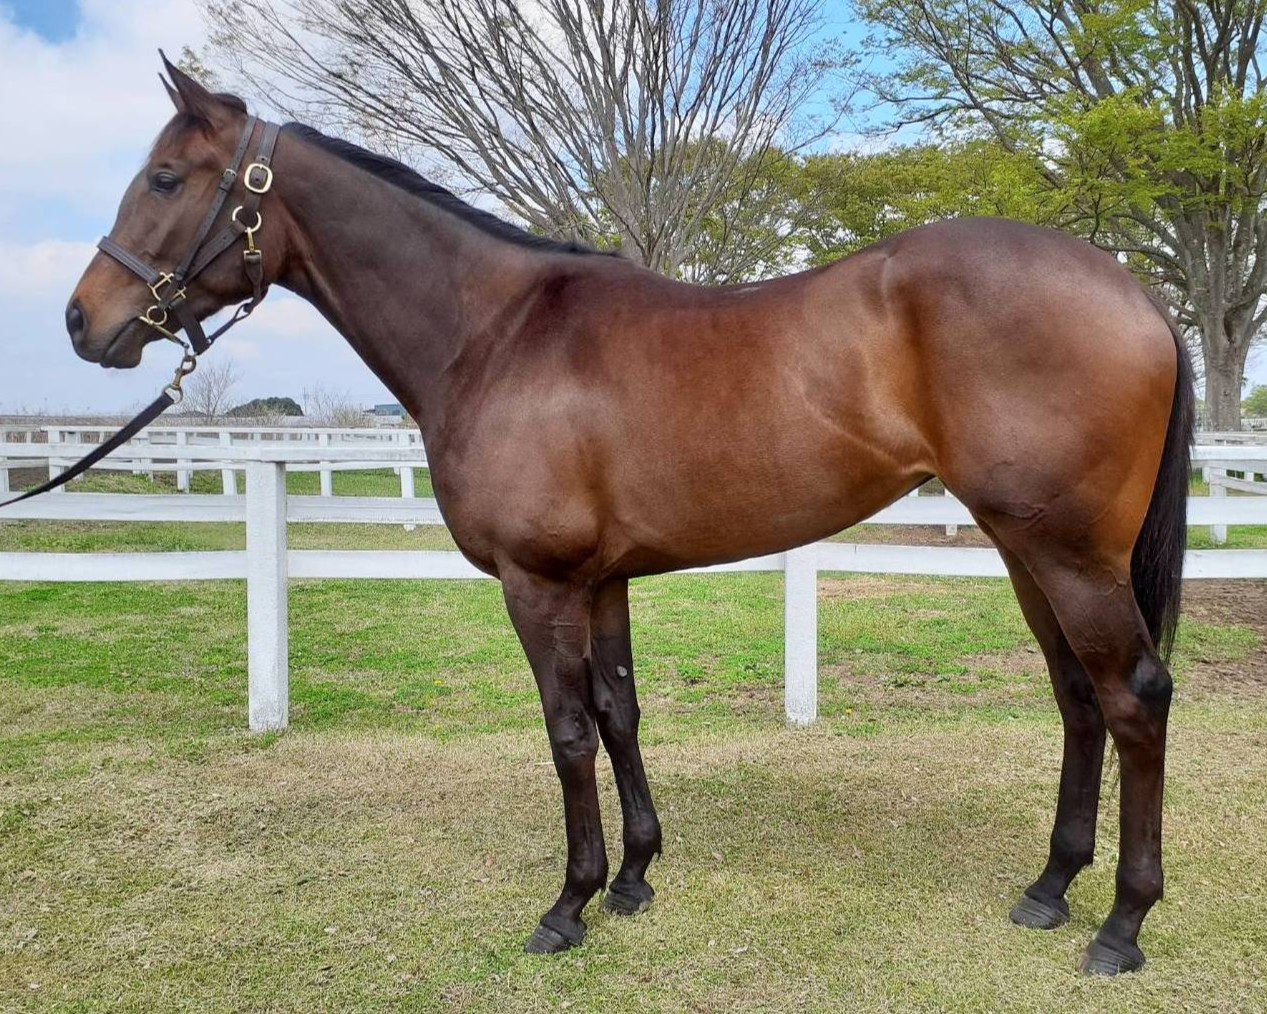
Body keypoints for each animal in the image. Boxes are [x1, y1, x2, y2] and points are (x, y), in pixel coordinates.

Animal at [64, 58, 1193, 974]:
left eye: (166, 179)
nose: (84, 321)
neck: (494, 332)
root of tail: (1134, 293)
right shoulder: (600, 580)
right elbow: (619, 714)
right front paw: (635, 878)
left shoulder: (538, 584)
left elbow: (566, 732)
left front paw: (567, 904)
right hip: (1024, 550)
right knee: (1078, 701)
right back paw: (1049, 889)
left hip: (1068, 554)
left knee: (1133, 699)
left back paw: (1121, 926)